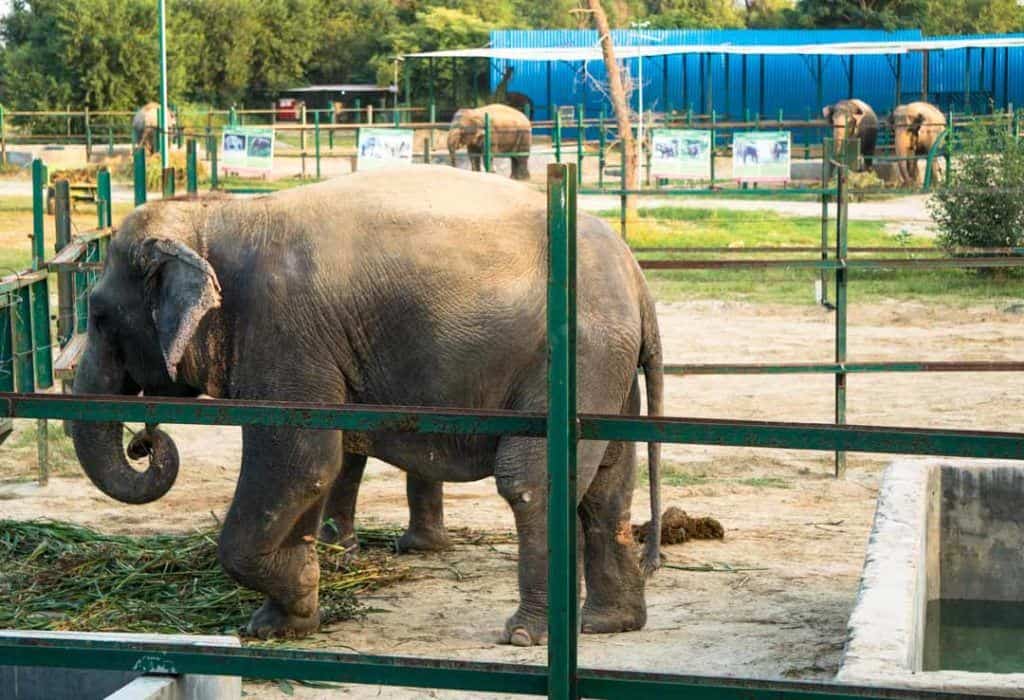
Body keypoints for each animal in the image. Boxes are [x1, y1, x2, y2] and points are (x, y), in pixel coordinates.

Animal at [69, 166, 664, 644]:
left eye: (97, 316)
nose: (146, 441)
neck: (219, 215)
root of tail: (637, 278)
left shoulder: (283, 331)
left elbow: (298, 460)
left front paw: (293, 598)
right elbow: (312, 470)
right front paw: (283, 621)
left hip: (576, 357)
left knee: (531, 480)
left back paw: (525, 635)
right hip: (606, 367)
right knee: (610, 484)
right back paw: (607, 624)